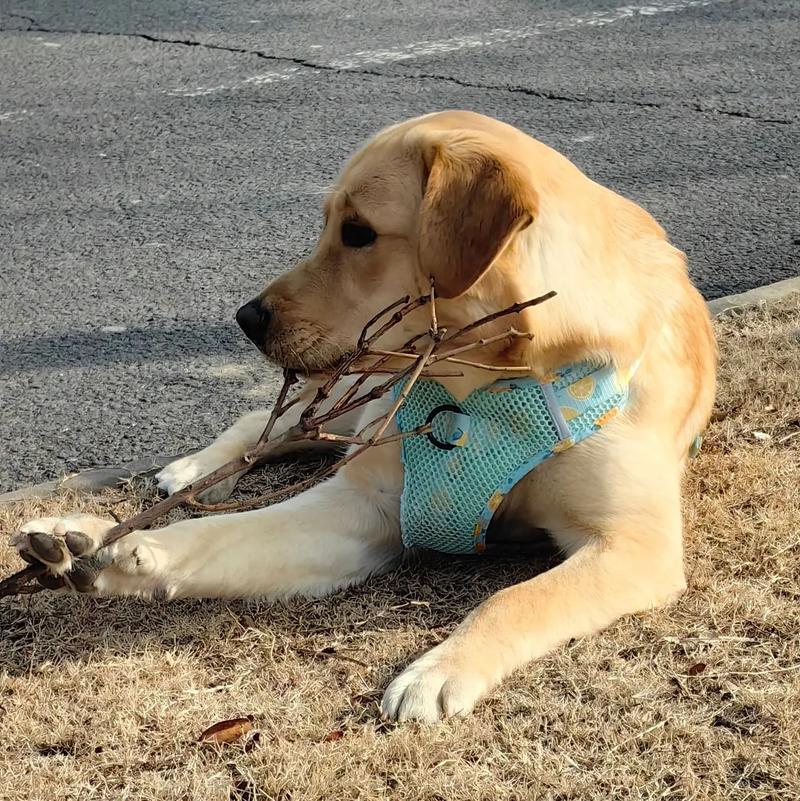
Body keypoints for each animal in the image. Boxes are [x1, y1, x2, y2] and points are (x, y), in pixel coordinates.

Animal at [12, 111, 716, 720]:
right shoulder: (367, 507)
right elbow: (216, 533)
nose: (246, 318)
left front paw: (440, 668)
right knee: (262, 423)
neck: (488, 386)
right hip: (360, 397)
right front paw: (107, 546)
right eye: (328, 224)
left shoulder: (634, 544)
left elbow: (516, 597)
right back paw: (195, 470)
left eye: (359, 233)